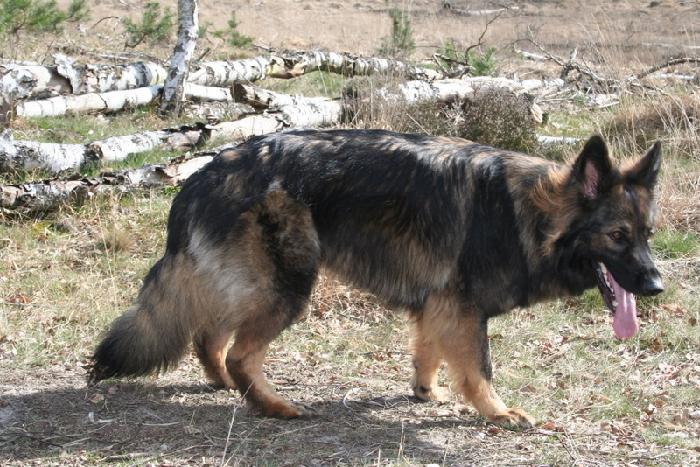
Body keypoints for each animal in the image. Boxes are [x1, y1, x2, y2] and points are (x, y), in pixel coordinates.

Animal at [89, 129, 664, 428]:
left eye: (648, 234)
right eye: (617, 236)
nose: (657, 286)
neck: (529, 214)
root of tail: (205, 172)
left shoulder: (439, 305)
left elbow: (429, 352)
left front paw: (425, 391)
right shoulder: (463, 308)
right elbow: (479, 368)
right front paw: (497, 413)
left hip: (254, 286)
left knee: (211, 337)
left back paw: (228, 386)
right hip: (287, 288)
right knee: (237, 350)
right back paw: (273, 405)